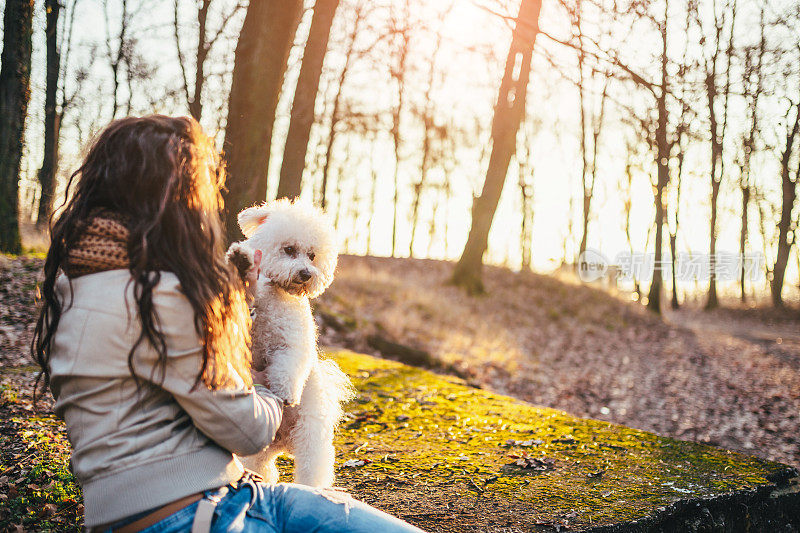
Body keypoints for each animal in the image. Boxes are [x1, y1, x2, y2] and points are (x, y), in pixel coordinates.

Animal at [223, 198, 352, 486]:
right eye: (289, 249)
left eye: (312, 256)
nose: (306, 273)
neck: (275, 292)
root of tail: (282, 443)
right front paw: (240, 261)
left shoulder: (293, 343)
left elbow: (288, 366)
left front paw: (285, 392)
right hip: (259, 454)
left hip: (310, 439)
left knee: (312, 471)